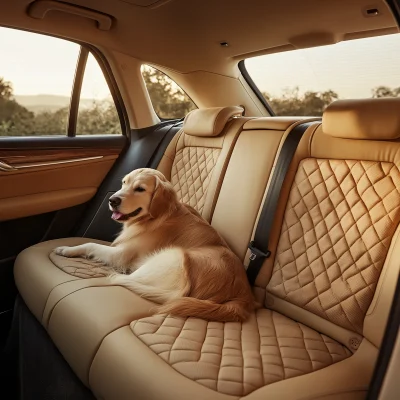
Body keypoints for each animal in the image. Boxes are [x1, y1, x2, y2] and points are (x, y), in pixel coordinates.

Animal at [54, 168, 255, 322]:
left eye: (140, 189)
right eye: (124, 183)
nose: (113, 200)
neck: (157, 216)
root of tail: (242, 297)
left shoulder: (121, 254)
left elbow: (91, 245)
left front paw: (67, 249)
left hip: (172, 256)